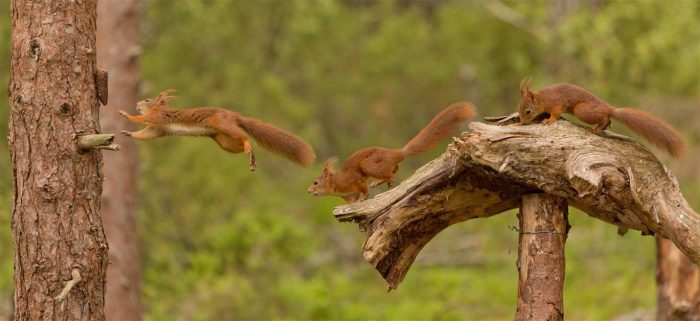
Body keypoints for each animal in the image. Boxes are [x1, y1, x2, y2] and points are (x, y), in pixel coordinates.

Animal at [119, 89, 316, 170]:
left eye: (147, 100)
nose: (137, 104)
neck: (158, 109)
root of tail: (235, 115)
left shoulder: (159, 118)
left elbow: (141, 119)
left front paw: (126, 114)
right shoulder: (156, 129)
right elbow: (145, 135)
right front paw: (128, 133)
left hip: (223, 125)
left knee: (244, 136)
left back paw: (248, 146)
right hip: (224, 141)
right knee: (240, 145)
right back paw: (251, 157)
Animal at [310, 102, 478, 202]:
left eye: (316, 182)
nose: (308, 191)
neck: (336, 184)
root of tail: (398, 153)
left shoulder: (354, 180)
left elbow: (363, 188)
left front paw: (364, 197)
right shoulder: (348, 196)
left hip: (369, 165)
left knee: (390, 173)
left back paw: (380, 181)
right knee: (395, 168)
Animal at [516, 77, 688, 158]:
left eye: (528, 111)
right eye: (519, 109)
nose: (522, 122)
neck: (543, 99)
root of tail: (608, 107)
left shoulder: (557, 103)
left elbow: (556, 114)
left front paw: (548, 120)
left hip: (581, 110)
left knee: (603, 117)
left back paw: (595, 128)